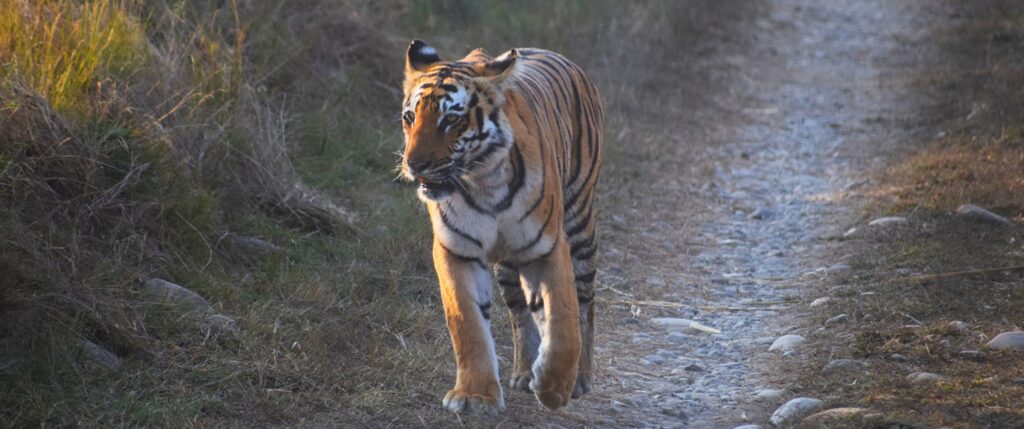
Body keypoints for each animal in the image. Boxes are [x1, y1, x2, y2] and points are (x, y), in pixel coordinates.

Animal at [397, 39, 602, 413]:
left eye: (451, 120)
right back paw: (523, 372)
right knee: (521, 313)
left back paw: (579, 378)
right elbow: (468, 324)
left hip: (580, 223)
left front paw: (554, 388)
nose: (413, 165)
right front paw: (475, 395)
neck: (483, 180)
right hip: (507, 264)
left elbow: (564, 321)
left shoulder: (549, 246)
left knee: (585, 303)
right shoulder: (456, 250)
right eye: (410, 117)